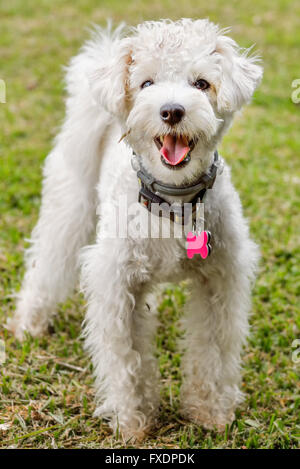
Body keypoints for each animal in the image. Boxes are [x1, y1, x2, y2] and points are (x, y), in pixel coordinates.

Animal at [8, 19, 262, 438]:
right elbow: (126, 360)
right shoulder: (116, 285)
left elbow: (213, 351)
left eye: (202, 84)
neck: (173, 204)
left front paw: (210, 412)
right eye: (145, 83)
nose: (172, 111)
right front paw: (133, 420)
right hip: (70, 207)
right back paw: (29, 323)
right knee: (47, 265)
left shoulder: (220, 281)